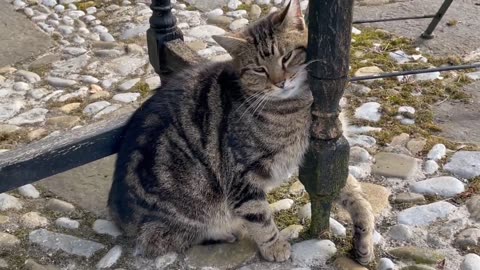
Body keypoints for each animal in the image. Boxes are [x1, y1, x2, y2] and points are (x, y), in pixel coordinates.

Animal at [109, 0, 376, 264]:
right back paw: (226, 232)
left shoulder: (321, 154)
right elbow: (260, 217)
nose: (280, 82)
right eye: (258, 69)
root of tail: (117, 212)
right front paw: (274, 246)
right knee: (163, 239)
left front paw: (364, 235)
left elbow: (350, 191)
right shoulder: (242, 176)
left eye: (287, 56)